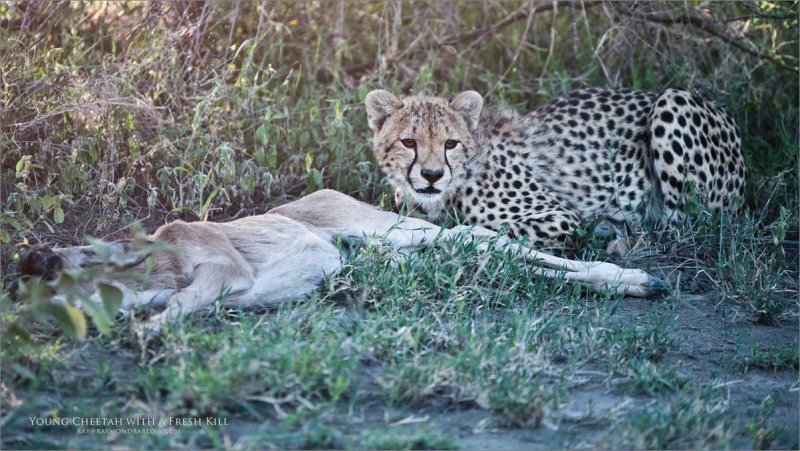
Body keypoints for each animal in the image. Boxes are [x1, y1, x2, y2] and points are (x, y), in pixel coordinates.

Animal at [366, 86, 748, 252]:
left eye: (450, 144)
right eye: (409, 142)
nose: (432, 176)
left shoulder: (562, 215)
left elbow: (497, 229)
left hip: (673, 100)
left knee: (689, 228)